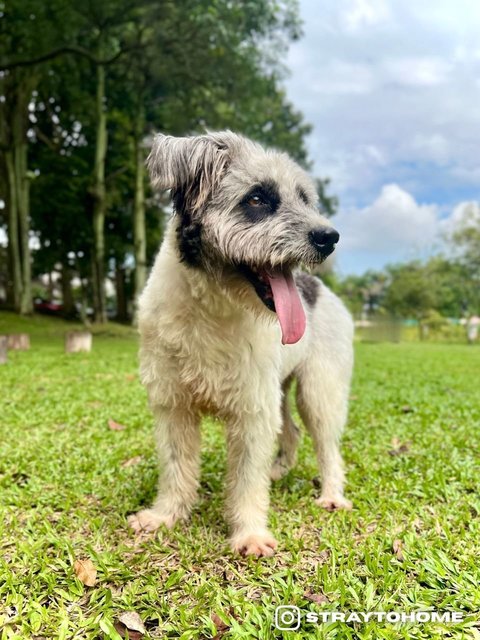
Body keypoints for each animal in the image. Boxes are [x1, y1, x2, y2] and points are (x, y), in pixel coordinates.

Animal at [127, 132, 352, 556]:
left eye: (304, 198)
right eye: (257, 199)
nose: (328, 237)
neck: (213, 306)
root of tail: (319, 288)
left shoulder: (252, 412)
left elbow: (248, 479)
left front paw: (250, 533)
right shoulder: (173, 405)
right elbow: (176, 466)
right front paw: (165, 515)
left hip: (318, 391)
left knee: (327, 446)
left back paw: (332, 495)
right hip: (280, 390)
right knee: (291, 432)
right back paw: (279, 470)